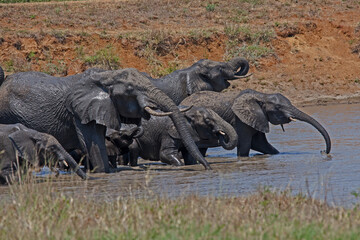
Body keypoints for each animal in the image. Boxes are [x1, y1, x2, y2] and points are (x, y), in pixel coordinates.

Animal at [0, 66, 211, 173]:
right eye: (130, 89)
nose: (208, 168)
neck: (104, 77)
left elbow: (100, 142)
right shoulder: (78, 112)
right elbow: (92, 143)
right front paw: (102, 174)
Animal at [181, 89, 330, 157]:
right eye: (278, 107)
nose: (323, 151)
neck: (262, 95)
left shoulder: (257, 119)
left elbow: (261, 144)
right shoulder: (240, 120)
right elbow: (245, 145)